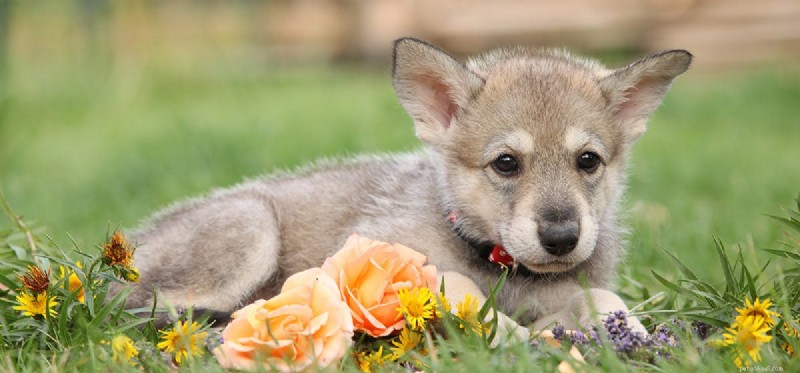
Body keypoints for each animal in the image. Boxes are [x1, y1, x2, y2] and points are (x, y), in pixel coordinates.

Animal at [125, 38, 688, 338]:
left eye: (587, 160)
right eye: (506, 164)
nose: (562, 238)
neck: (503, 268)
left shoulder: (574, 289)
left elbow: (605, 298)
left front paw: (636, 339)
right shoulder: (391, 258)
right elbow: (457, 288)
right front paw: (515, 339)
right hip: (249, 229)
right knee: (137, 310)